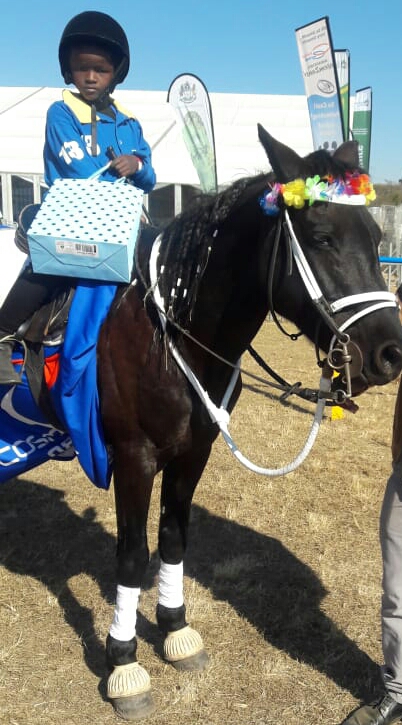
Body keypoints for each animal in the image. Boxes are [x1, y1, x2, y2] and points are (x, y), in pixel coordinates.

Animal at [36, 126, 402, 720]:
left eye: (375, 238)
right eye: (322, 237)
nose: (391, 354)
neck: (167, 333)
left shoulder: (194, 452)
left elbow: (174, 539)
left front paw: (175, 629)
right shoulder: (134, 458)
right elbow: (132, 556)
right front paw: (124, 663)